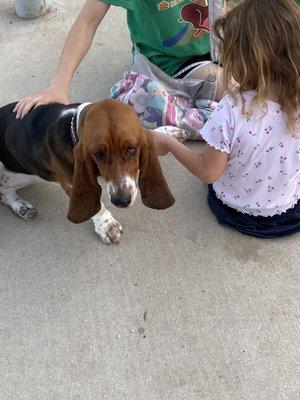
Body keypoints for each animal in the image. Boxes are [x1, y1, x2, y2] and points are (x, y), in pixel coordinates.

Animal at [0, 99, 183, 244]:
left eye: (131, 149)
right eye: (98, 154)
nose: (121, 201)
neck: (73, 129)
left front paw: (167, 132)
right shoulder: (70, 184)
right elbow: (98, 206)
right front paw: (107, 226)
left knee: (6, 191)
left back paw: (22, 207)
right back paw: (20, 206)